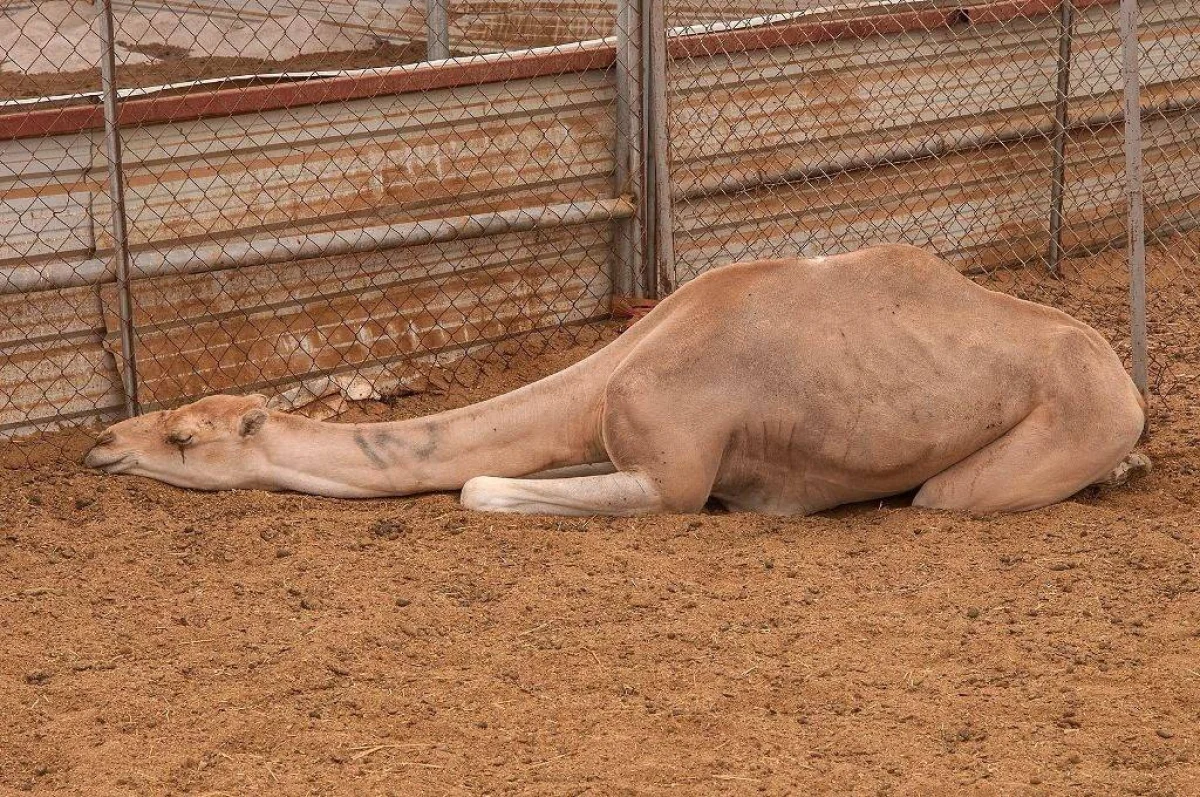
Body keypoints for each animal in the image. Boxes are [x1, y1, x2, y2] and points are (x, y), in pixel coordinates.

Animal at [84, 244, 1142, 516]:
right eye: (169, 413)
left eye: (183, 437)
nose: (100, 445)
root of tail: (1124, 379)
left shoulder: (673, 475)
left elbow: (474, 485)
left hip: (1042, 436)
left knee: (939, 496)